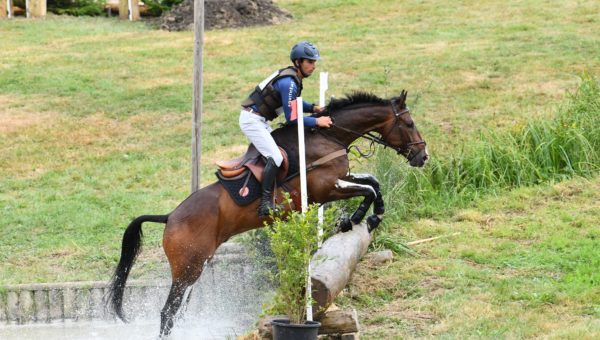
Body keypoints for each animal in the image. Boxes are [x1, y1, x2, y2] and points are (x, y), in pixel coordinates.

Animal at [106, 90, 426, 338]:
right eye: (409, 123)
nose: (423, 157)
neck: (328, 137)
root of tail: (170, 216)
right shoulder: (326, 189)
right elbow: (368, 189)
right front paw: (358, 218)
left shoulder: (340, 180)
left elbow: (373, 182)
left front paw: (367, 215)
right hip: (187, 269)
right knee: (167, 313)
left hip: (196, 267)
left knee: (179, 311)